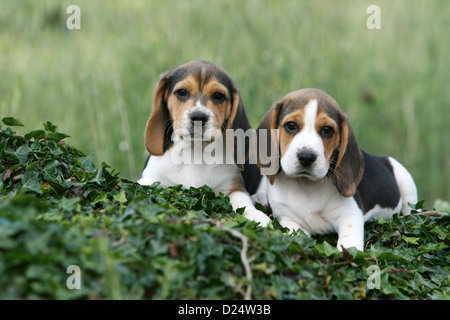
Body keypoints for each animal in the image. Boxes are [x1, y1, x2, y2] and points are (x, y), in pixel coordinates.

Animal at [137, 58, 270, 226]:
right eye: (182, 92)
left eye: (218, 95)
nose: (198, 117)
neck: (195, 150)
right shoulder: (151, 178)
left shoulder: (233, 188)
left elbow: (243, 202)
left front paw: (257, 215)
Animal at [256, 89, 418, 251]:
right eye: (291, 125)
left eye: (327, 130)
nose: (307, 157)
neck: (306, 185)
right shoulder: (288, 220)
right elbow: (298, 234)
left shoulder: (350, 215)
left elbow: (349, 245)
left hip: (405, 180)